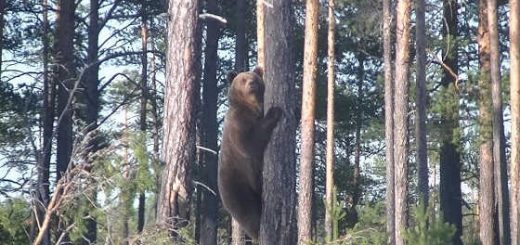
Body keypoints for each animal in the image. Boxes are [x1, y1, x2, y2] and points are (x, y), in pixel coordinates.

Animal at [217, 66, 282, 240]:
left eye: (254, 77)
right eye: (243, 79)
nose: (252, 83)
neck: (252, 107)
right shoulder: (238, 123)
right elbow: (250, 143)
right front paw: (275, 111)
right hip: (237, 186)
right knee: (249, 214)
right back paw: (258, 231)